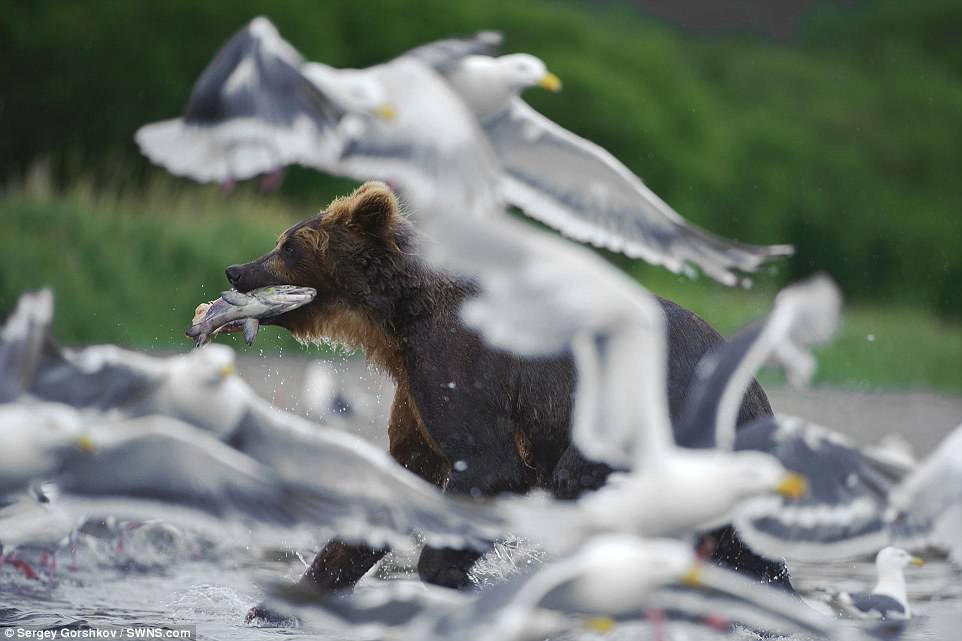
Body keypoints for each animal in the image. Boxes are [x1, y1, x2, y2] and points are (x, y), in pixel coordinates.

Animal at [227, 181, 788, 604]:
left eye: (291, 246)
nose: (235, 270)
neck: (399, 317)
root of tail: (754, 389)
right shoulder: (415, 395)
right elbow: (397, 484)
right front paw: (284, 600)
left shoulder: (461, 365)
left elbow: (489, 466)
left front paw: (456, 575)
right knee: (744, 550)